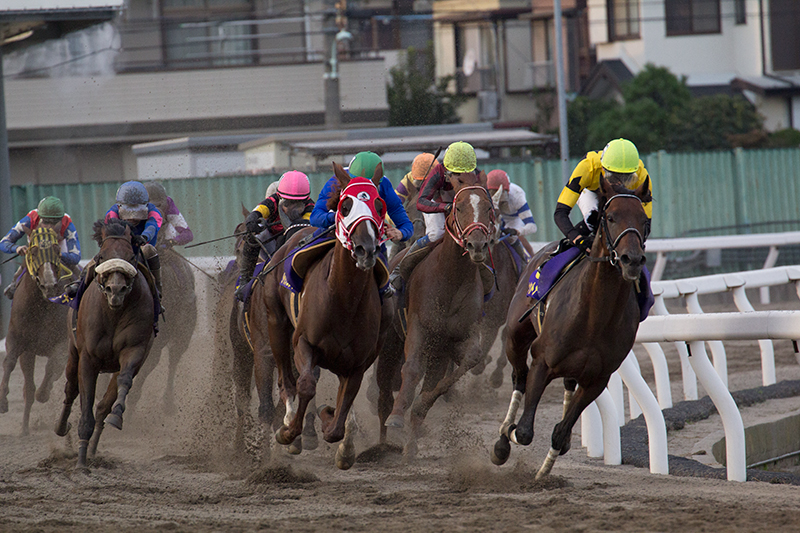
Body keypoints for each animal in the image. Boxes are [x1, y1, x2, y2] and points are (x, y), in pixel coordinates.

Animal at [0, 227, 74, 434]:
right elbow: (9, 362)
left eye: (57, 251)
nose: (49, 285)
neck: (41, 305)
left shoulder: (63, 341)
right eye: (33, 252)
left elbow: (53, 366)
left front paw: (44, 393)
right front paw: (3, 401)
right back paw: (25, 428)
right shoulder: (17, 339)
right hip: (29, 353)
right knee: (28, 388)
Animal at [54, 218, 155, 472]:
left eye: (131, 256)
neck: (113, 313)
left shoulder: (134, 351)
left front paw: (117, 415)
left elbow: (123, 381)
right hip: (73, 353)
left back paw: (93, 448)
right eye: (101, 255)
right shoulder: (88, 359)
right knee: (71, 388)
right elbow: (85, 403)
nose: (115, 290)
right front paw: (80, 462)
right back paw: (62, 427)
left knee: (102, 407)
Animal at [252, 161, 392, 466]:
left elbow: (340, 418)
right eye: (345, 206)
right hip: (276, 324)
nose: (366, 249)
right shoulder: (304, 343)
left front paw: (338, 435)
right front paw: (289, 432)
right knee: (286, 379)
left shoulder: (358, 363)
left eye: (379, 205)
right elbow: (305, 385)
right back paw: (288, 421)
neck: (343, 300)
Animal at [378, 172, 496, 456]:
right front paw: (398, 415)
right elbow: (410, 369)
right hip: (390, 344)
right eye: (459, 207)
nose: (477, 245)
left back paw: (410, 447)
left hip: (437, 354)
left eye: (488, 208)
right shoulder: (418, 328)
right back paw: (381, 441)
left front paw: (419, 407)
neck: (451, 279)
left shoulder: (455, 341)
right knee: (383, 394)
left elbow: (462, 368)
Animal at [490, 176, 652, 478]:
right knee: (519, 377)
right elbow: (526, 431)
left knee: (566, 383)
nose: (632, 260)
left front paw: (543, 472)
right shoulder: (542, 362)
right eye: (610, 217)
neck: (594, 316)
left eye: (644, 219)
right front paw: (510, 433)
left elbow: (560, 432)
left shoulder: (597, 379)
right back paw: (503, 440)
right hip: (516, 336)